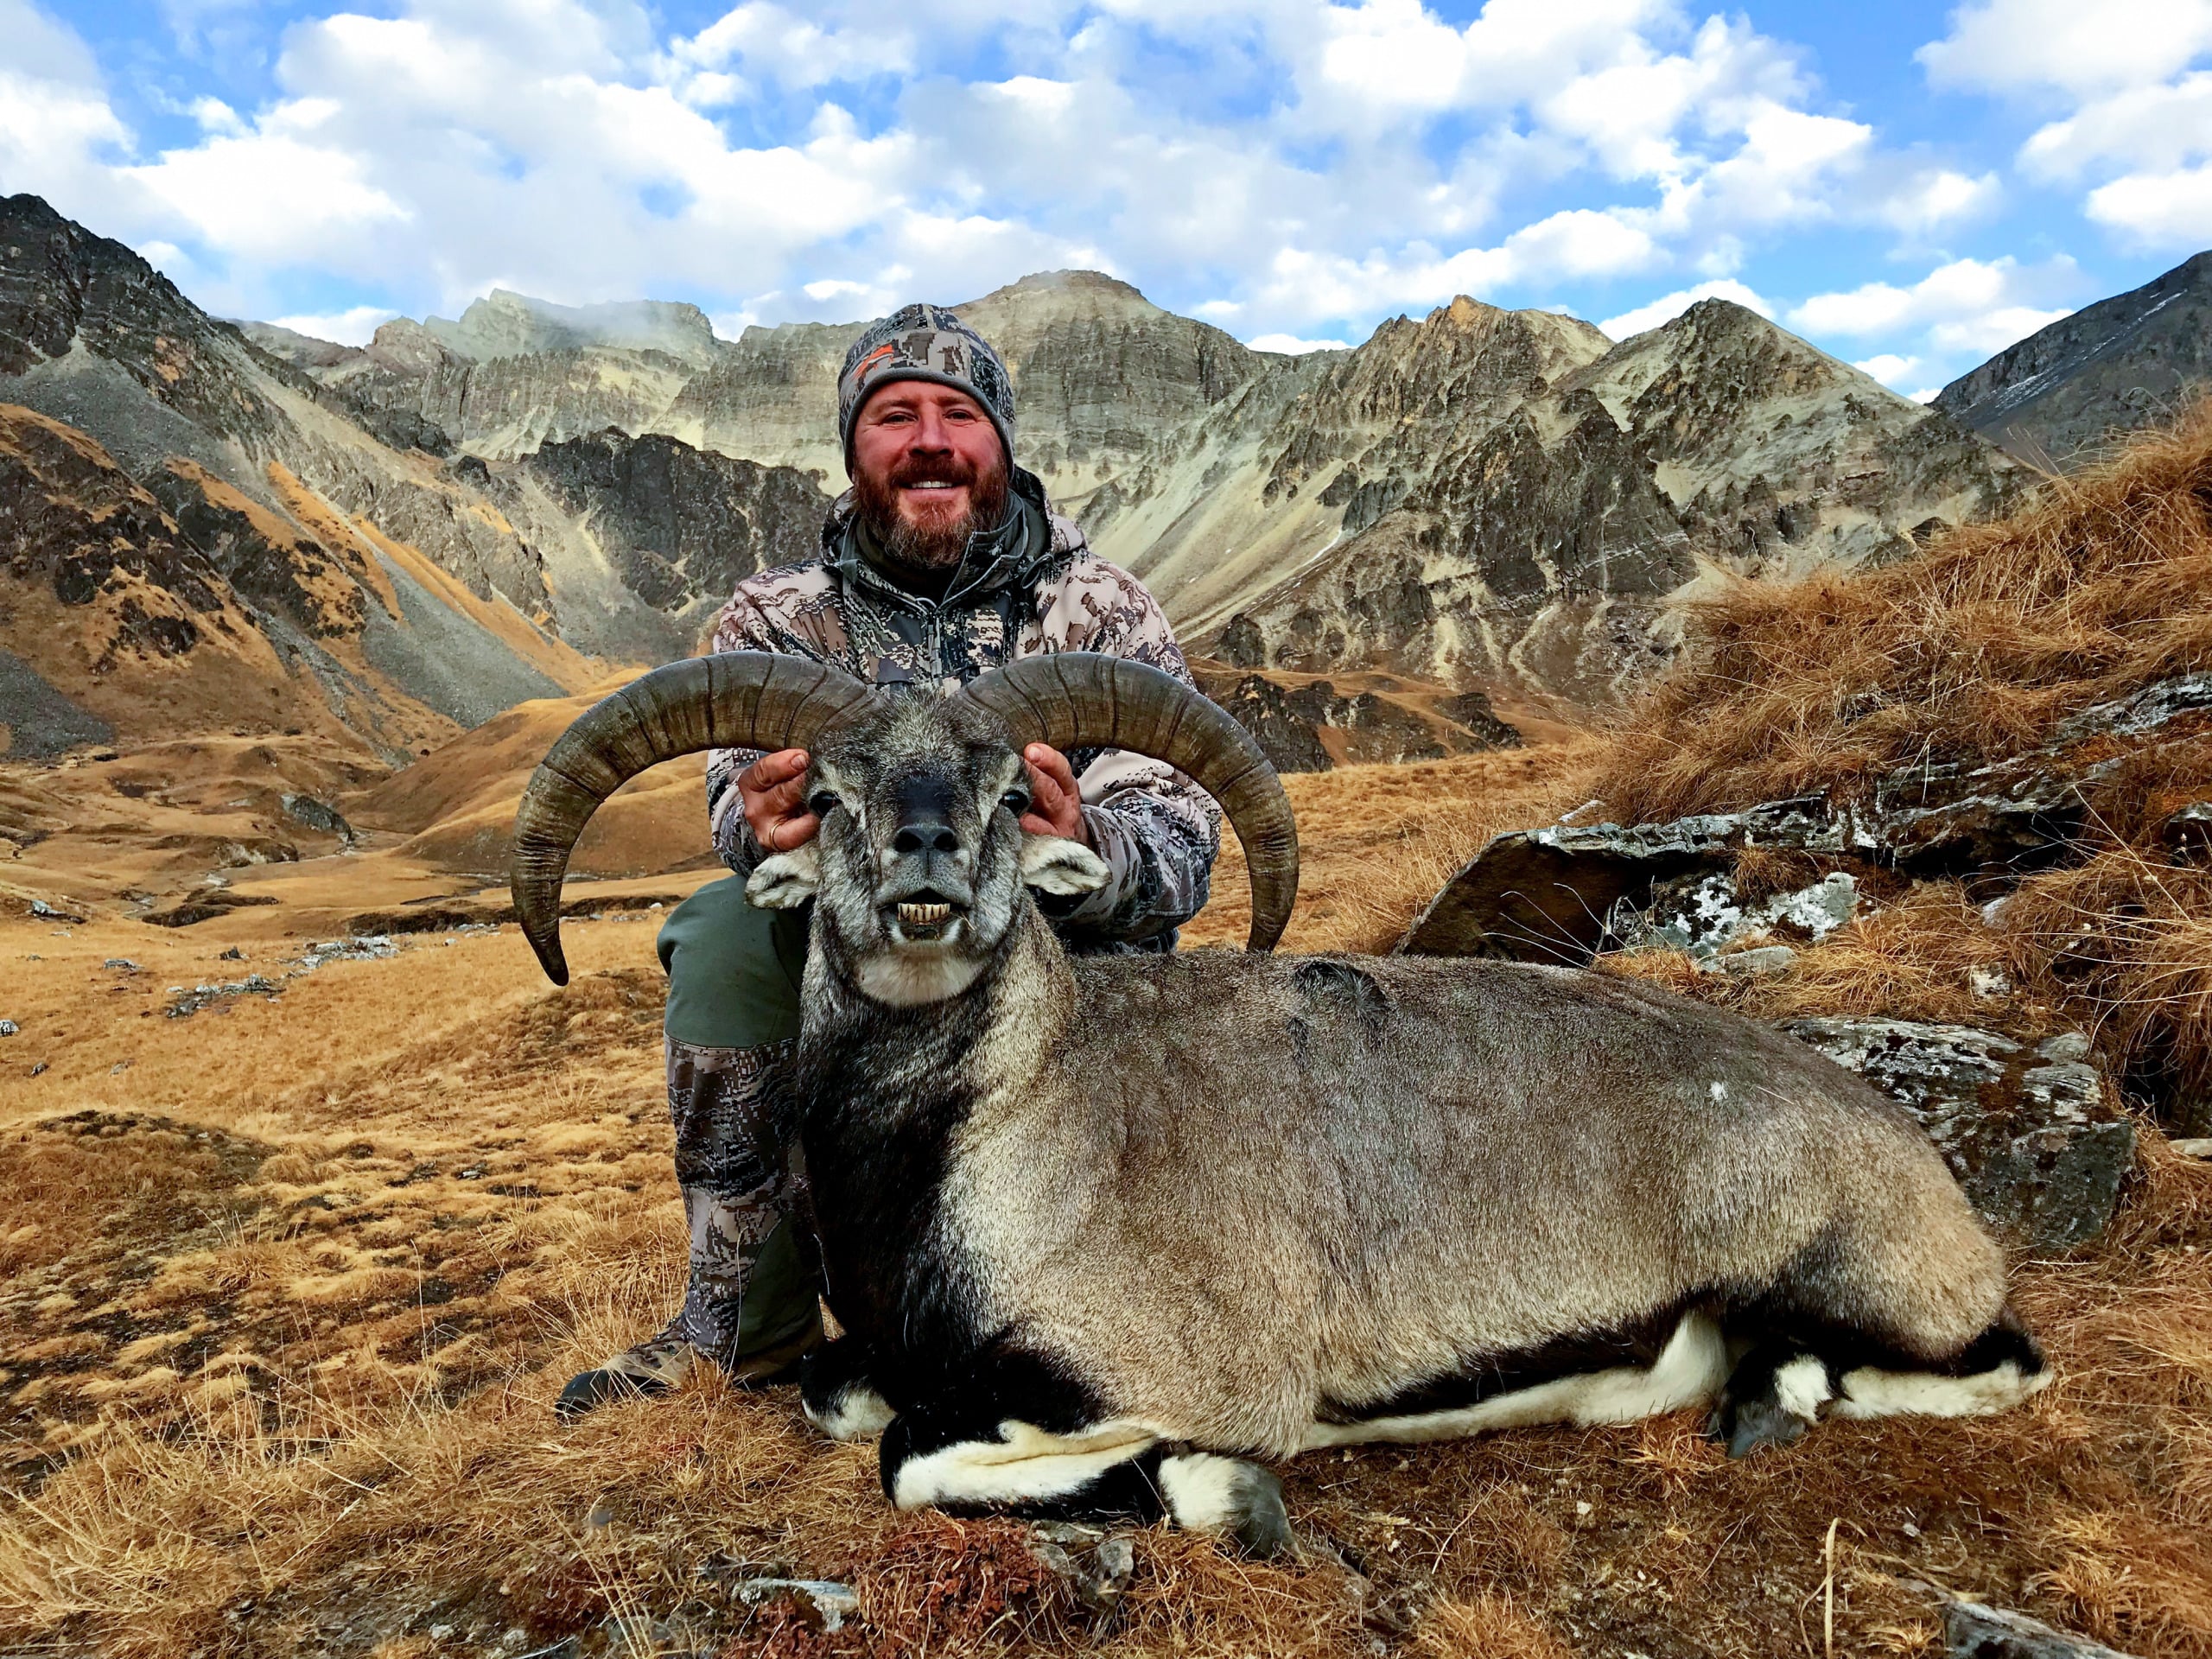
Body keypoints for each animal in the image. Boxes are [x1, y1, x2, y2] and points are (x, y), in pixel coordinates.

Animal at [511, 650, 2048, 1556]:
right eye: (825, 794)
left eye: (1012, 790)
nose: (927, 871)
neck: (996, 1137)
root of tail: (1910, 1153)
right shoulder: (899, 1356)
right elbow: (846, 1407)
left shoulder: (1168, 1373)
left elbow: (919, 1459)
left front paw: (1222, 1493)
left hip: (1867, 1284)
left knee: (1999, 1361)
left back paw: (1782, 1399)